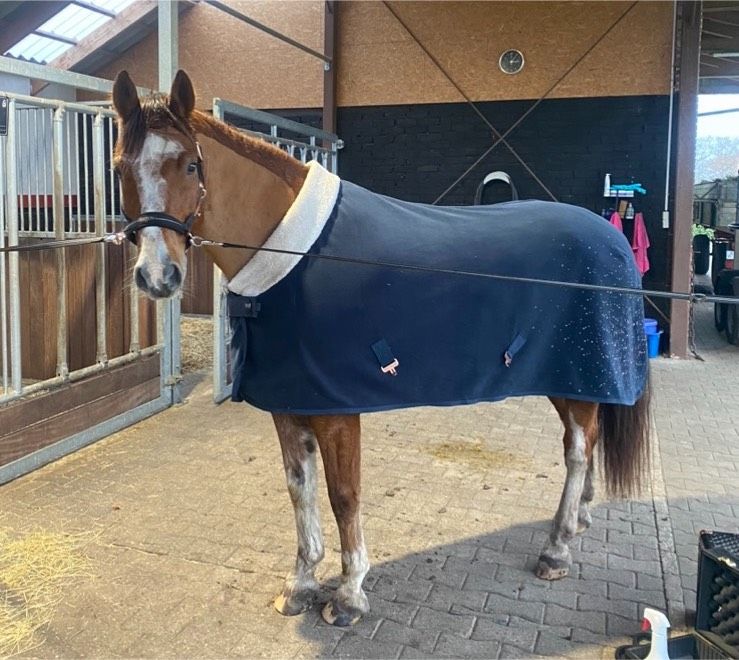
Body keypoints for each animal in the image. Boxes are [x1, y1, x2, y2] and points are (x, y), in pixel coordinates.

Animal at [112, 69, 652, 628]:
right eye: (120, 167)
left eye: (190, 164)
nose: (158, 276)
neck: (292, 253)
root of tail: (611, 240)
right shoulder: (288, 404)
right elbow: (299, 490)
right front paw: (301, 583)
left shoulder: (335, 410)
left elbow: (343, 495)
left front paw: (349, 594)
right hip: (570, 381)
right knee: (585, 445)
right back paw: (581, 518)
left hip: (580, 376)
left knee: (577, 451)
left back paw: (557, 549)